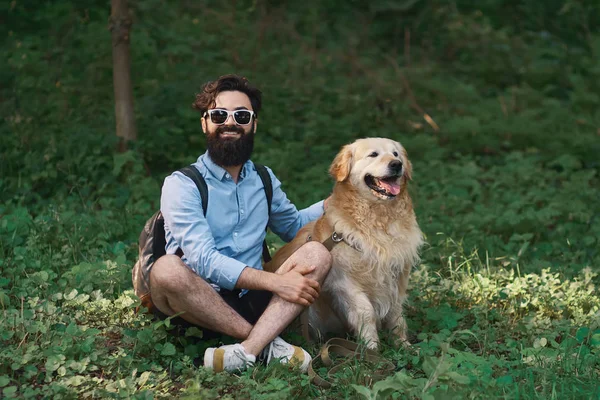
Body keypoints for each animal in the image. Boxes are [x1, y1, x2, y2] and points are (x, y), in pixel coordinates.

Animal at [264, 138, 424, 350]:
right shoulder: (345, 282)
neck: (379, 219)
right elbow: (366, 313)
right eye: (373, 154)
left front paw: (403, 345)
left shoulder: (396, 276)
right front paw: (371, 350)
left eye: (396, 154)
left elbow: (396, 314)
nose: (396, 165)